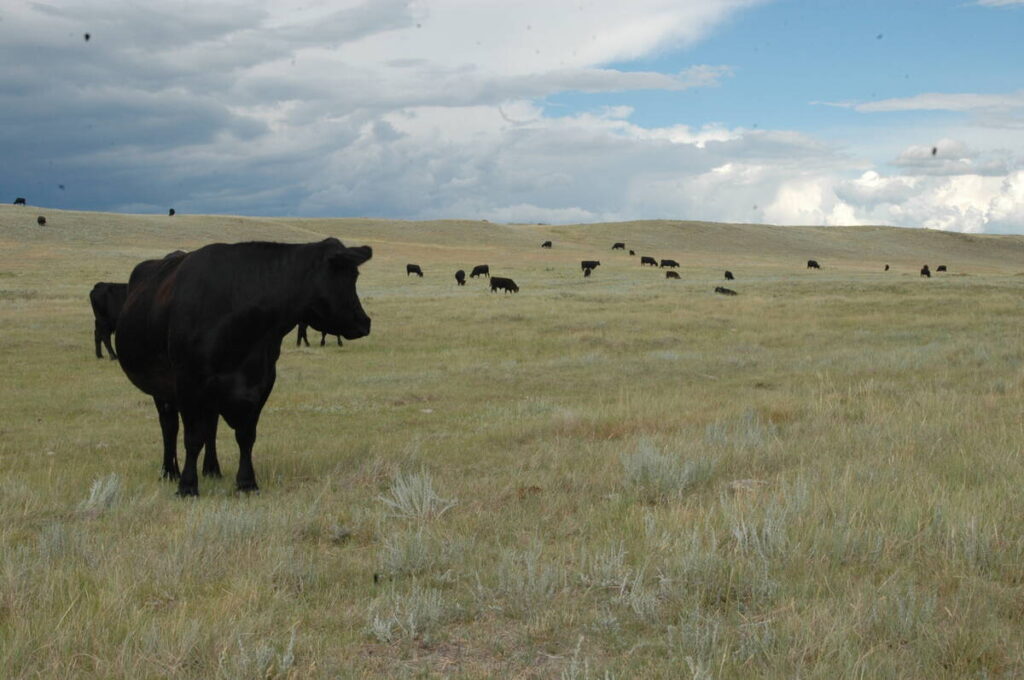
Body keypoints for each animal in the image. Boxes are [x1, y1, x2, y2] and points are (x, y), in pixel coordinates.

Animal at [115, 238, 372, 496]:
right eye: (351, 276)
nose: (365, 322)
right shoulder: (189, 381)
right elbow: (192, 437)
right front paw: (187, 486)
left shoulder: (261, 381)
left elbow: (245, 436)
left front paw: (247, 483)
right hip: (162, 386)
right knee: (170, 427)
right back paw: (170, 472)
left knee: (210, 427)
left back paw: (212, 469)